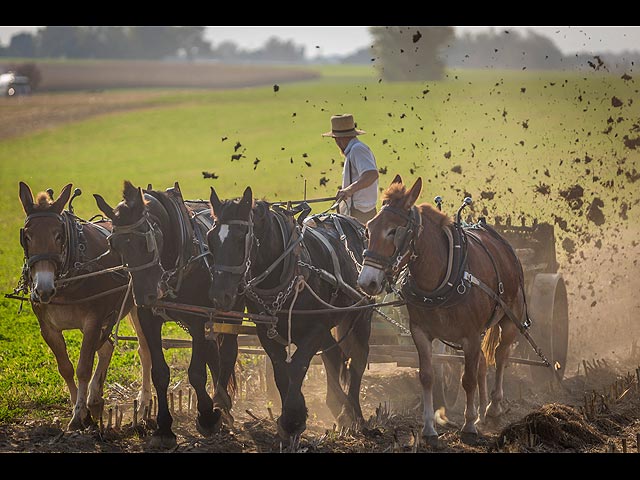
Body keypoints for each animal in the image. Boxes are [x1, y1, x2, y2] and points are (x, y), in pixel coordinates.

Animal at [18, 182, 152, 430]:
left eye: (59, 235)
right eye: (27, 236)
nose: (43, 289)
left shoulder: (93, 321)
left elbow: (83, 368)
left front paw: (79, 413)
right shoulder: (48, 329)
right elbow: (65, 368)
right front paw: (77, 407)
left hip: (139, 308)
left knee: (145, 350)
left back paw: (144, 402)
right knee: (107, 347)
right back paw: (95, 399)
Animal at [95, 181, 242, 450]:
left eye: (147, 239)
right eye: (114, 244)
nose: (146, 296)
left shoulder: (198, 319)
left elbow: (196, 373)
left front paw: (207, 416)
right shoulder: (148, 319)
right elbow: (160, 374)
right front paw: (163, 428)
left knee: (226, 353)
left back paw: (222, 407)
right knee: (214, 355)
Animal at [358, 176, 528, 446]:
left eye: (394, 230)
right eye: (369, 227)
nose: (367, 282)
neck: (440, 280)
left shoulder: (470, 335)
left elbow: (467, 379)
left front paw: (468, 425)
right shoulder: (420, 332)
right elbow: (427, 376)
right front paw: (430, 428)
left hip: (510, 319)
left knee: (501, 355)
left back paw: (492, 408)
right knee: (483, 362)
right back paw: (482, 412)